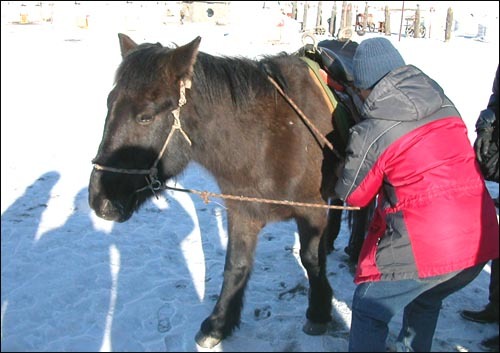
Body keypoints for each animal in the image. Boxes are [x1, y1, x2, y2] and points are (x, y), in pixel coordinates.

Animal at [89, 33, 348, 346]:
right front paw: (219, 323)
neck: (271, 139)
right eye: (108, 103)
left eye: (146, 117)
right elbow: (235, 265)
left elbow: (311, 261)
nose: (99, 199)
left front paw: (319, 311)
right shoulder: (243, 212)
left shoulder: (313, 212)